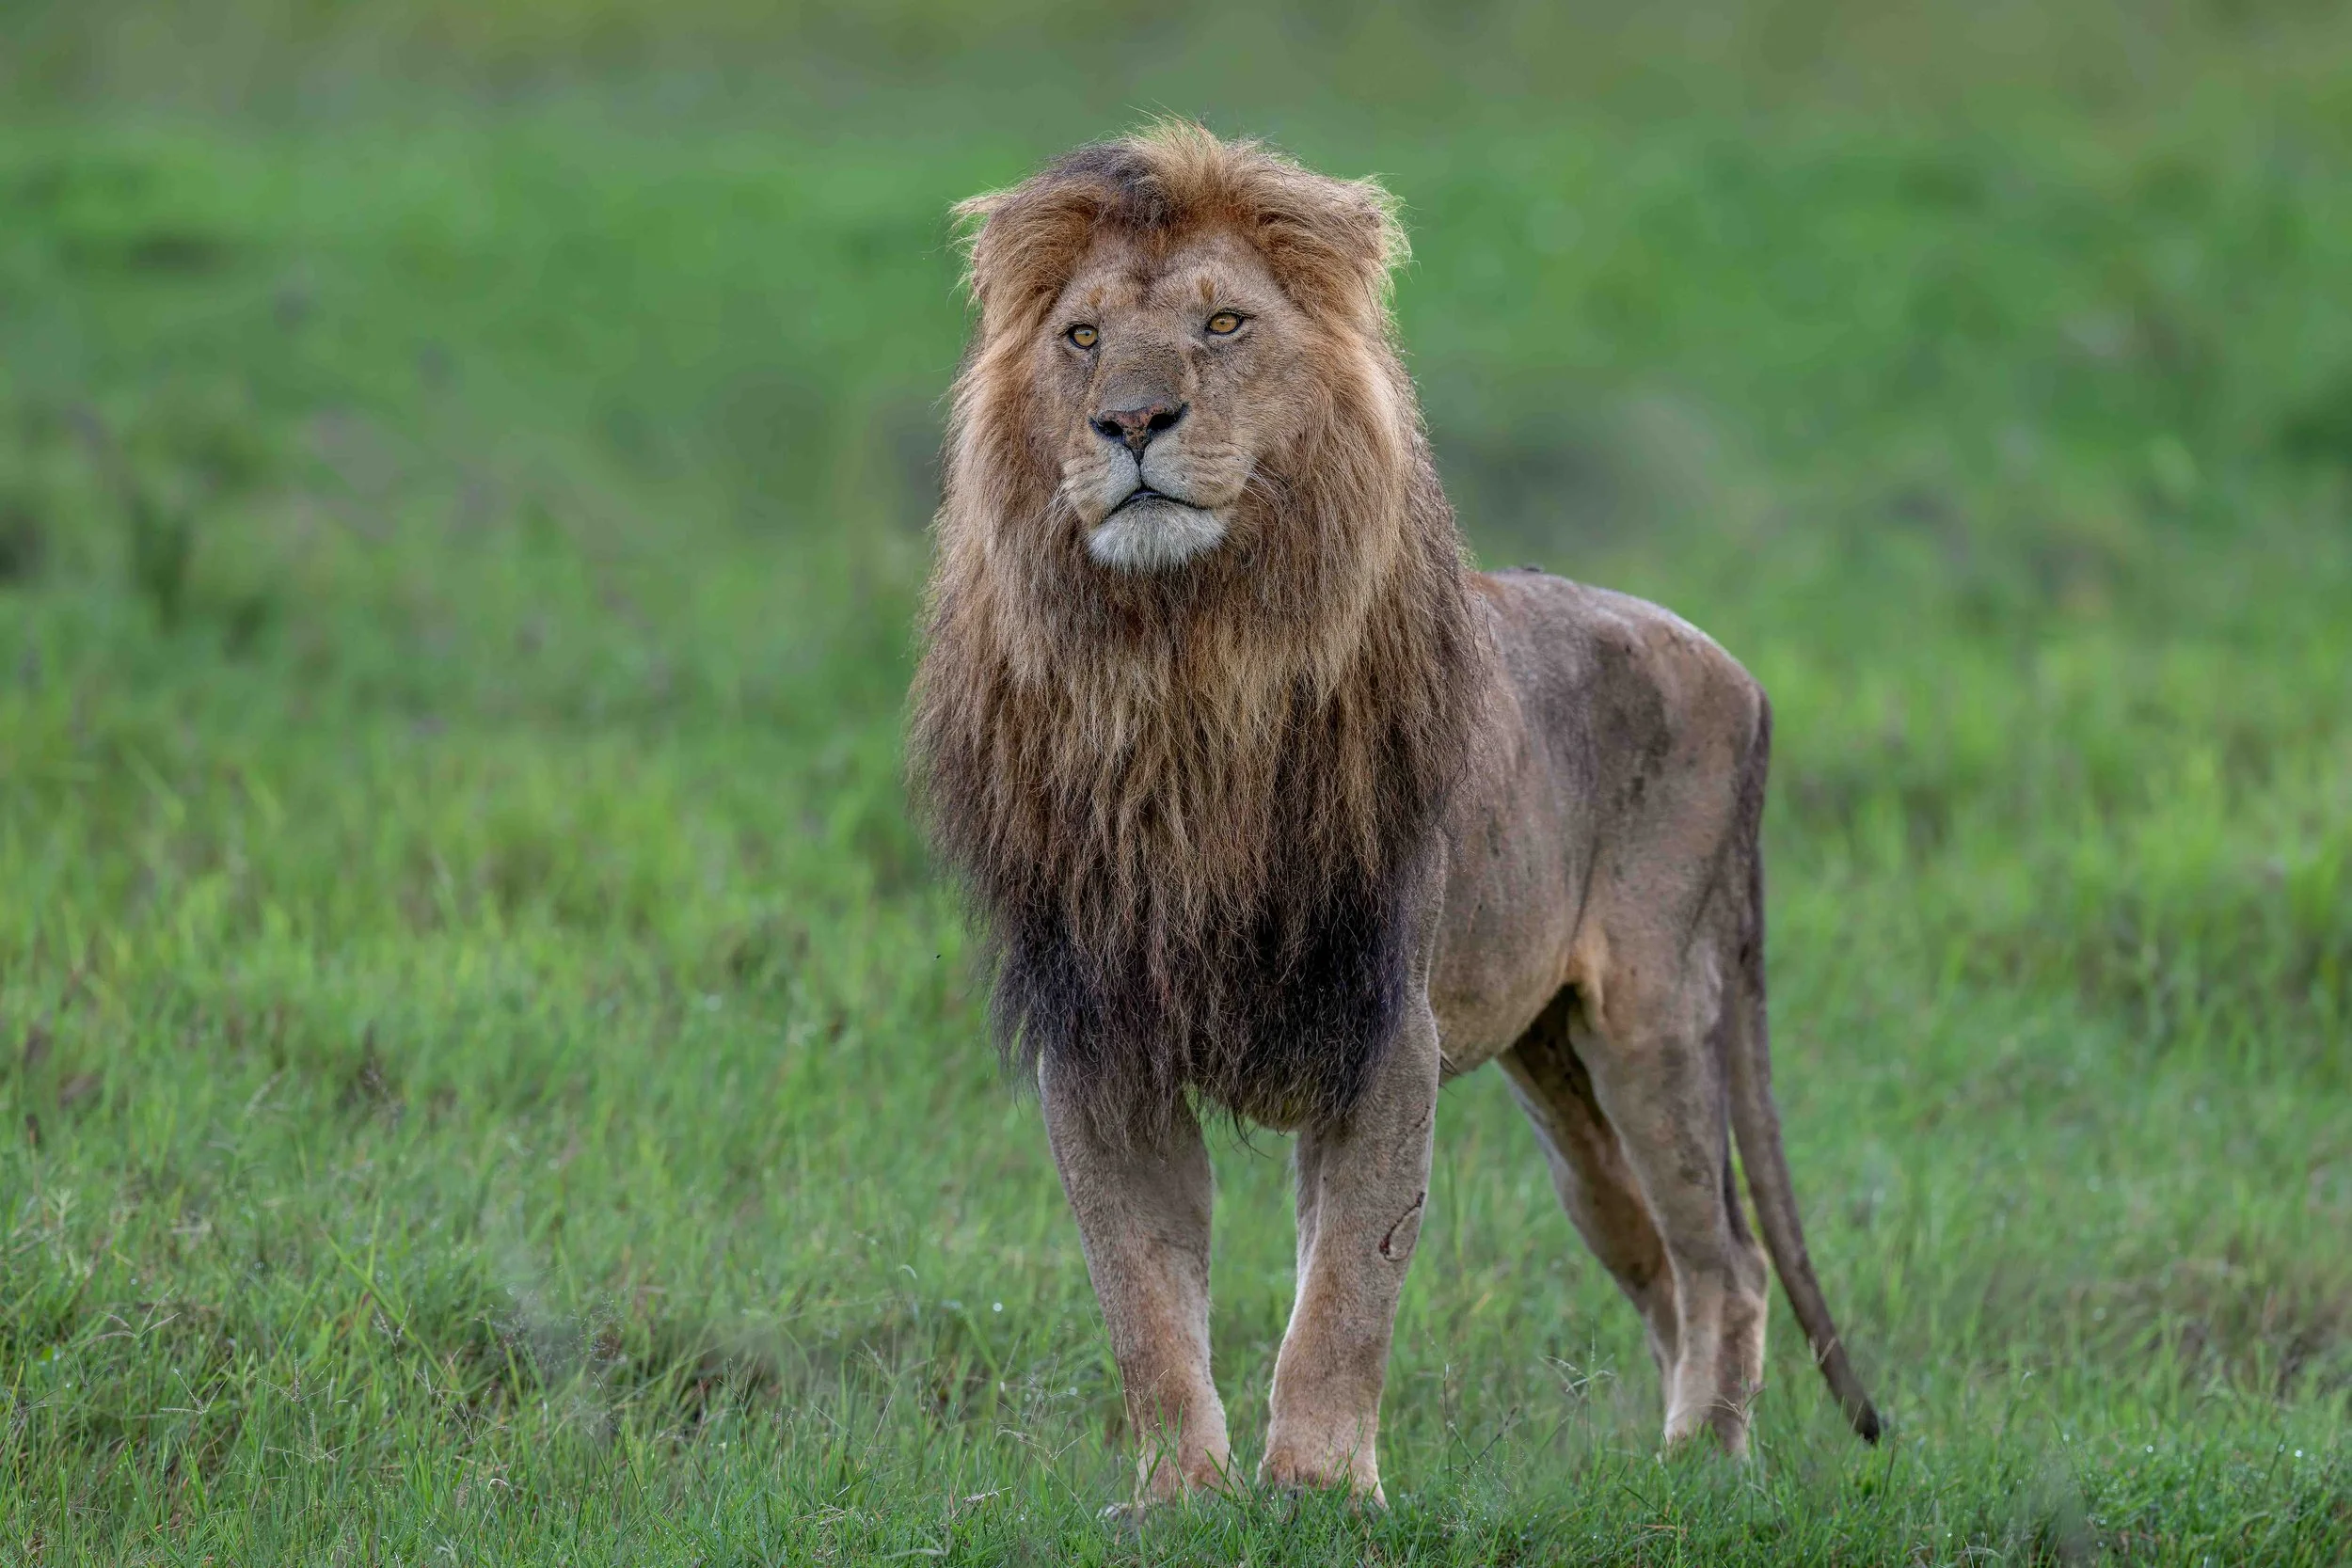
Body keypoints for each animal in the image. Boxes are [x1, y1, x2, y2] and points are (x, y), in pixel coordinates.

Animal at [909, 123, 1879, 1508]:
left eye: (1223, 322)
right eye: (1083, 337)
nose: (1132, 420)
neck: (1186, 668)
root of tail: (1740, 674)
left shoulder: (1378, 1023)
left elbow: (1346, 1289)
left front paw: (1320, 1485)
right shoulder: (1101, 1033)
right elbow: (1142, 1290)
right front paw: (1181, 1492)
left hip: (1654, 1016)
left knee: (1727, 1260)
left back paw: (1700, 1468)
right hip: (1557, 1080)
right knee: (1655, 1261)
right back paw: (1658, 1461)